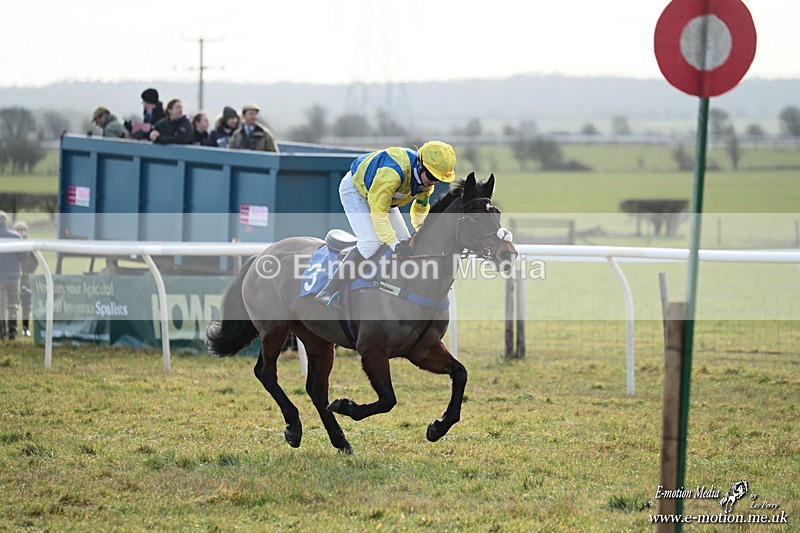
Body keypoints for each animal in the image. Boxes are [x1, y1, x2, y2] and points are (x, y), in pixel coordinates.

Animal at [206, 172, 517, 454]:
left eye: (497, 214)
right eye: (475, 218)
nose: (509, 254)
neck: (414, 279)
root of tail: (261, 254)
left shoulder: (423, 349)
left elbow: (460, 374)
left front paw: (437, 427)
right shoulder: (372, 350)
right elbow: (388, 400)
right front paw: (346, 405)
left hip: (317, 338)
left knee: (316, 389)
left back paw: (341, 442)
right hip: (274, 328)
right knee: (266, 373)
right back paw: (294, 428)